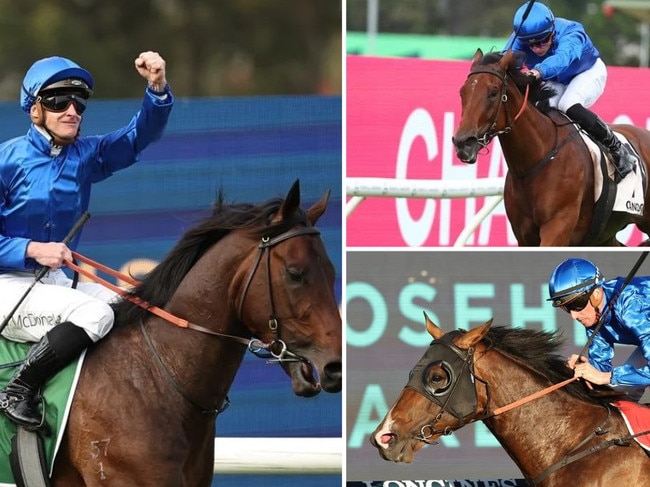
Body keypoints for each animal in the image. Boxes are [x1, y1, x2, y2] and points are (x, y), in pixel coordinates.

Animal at [454, 49, 650, 246]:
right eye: (462, 92)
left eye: (493, 92)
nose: (463, 142)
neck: (535, 160)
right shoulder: (524, 236)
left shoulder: (557, 226)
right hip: (605, 236)